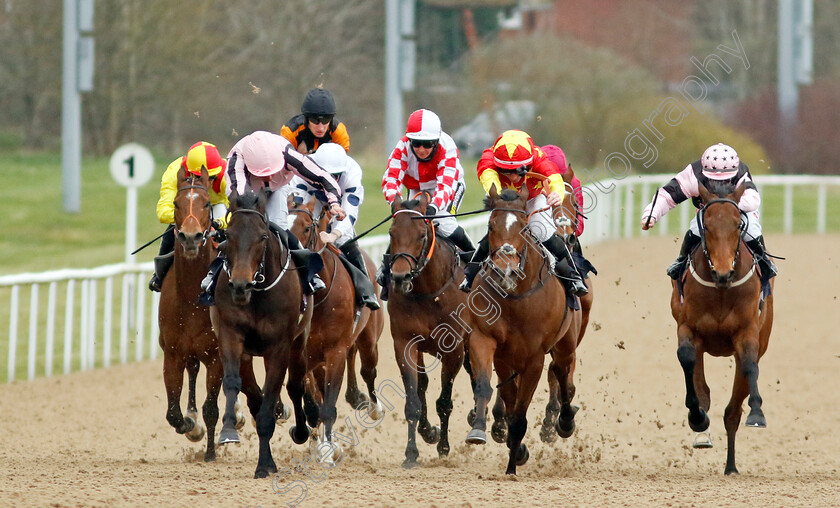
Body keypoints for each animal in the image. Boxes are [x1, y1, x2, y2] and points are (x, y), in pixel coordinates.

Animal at [208, 189, 314, 478]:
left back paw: (302, 427)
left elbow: (274, 395)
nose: (240, 285)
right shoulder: (230, 335)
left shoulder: (279, 347)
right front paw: (228, 428)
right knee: (255, 394)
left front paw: (264, 465)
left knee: (295, 385)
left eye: (263, 236)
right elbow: (233, 383)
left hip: (299, 343)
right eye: (227, 235)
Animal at [286, 196, 384, 462]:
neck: (320, 297)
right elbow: (312, 402)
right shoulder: (303, 353)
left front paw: (329, 449)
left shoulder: (336, 350)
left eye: (306, 228)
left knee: (368, 370)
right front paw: (318, 441)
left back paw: (373, 407)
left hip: (369, 338)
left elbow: (328, 405)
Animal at [388, 193, 472, 468]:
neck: (428, 292)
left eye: (421, 235)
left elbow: (444, 402)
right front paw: (411, 453)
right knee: (423, 385)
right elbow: (413, 400)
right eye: (391, 233)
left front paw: (444, 448)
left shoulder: (454, 348)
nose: (400, 277)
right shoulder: (405, 343)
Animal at [462, 187, 580, 476]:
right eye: (490, 226)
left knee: (562, 374)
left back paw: (564, 421)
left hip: (565, 343)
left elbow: (520, 415)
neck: (514, 297)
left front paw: (511, 468)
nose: (504, 269)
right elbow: (487, 387)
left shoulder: (534, 358)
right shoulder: (485, 341)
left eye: (525, 228)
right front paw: (479, 430)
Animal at [668, 181, 776, 474]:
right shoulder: (688, 329)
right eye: (706, 225)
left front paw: (758, 413)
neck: (721, 290)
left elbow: (750, 364)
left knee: (733, 411)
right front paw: (697, 418)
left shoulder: (747, 333)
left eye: (738, 224)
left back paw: (731, 465)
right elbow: (686, 359)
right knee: (703, 386)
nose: (723, 272)